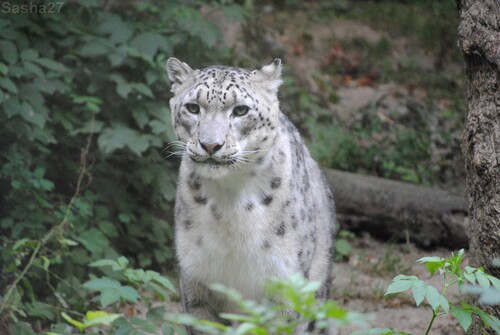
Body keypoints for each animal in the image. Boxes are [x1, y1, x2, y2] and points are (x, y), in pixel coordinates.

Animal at [167, 58, 336, 330]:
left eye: (240, 110)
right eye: (193, 108)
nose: (210, 145)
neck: (229, 202)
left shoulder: (285, 281)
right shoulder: (197, 281)